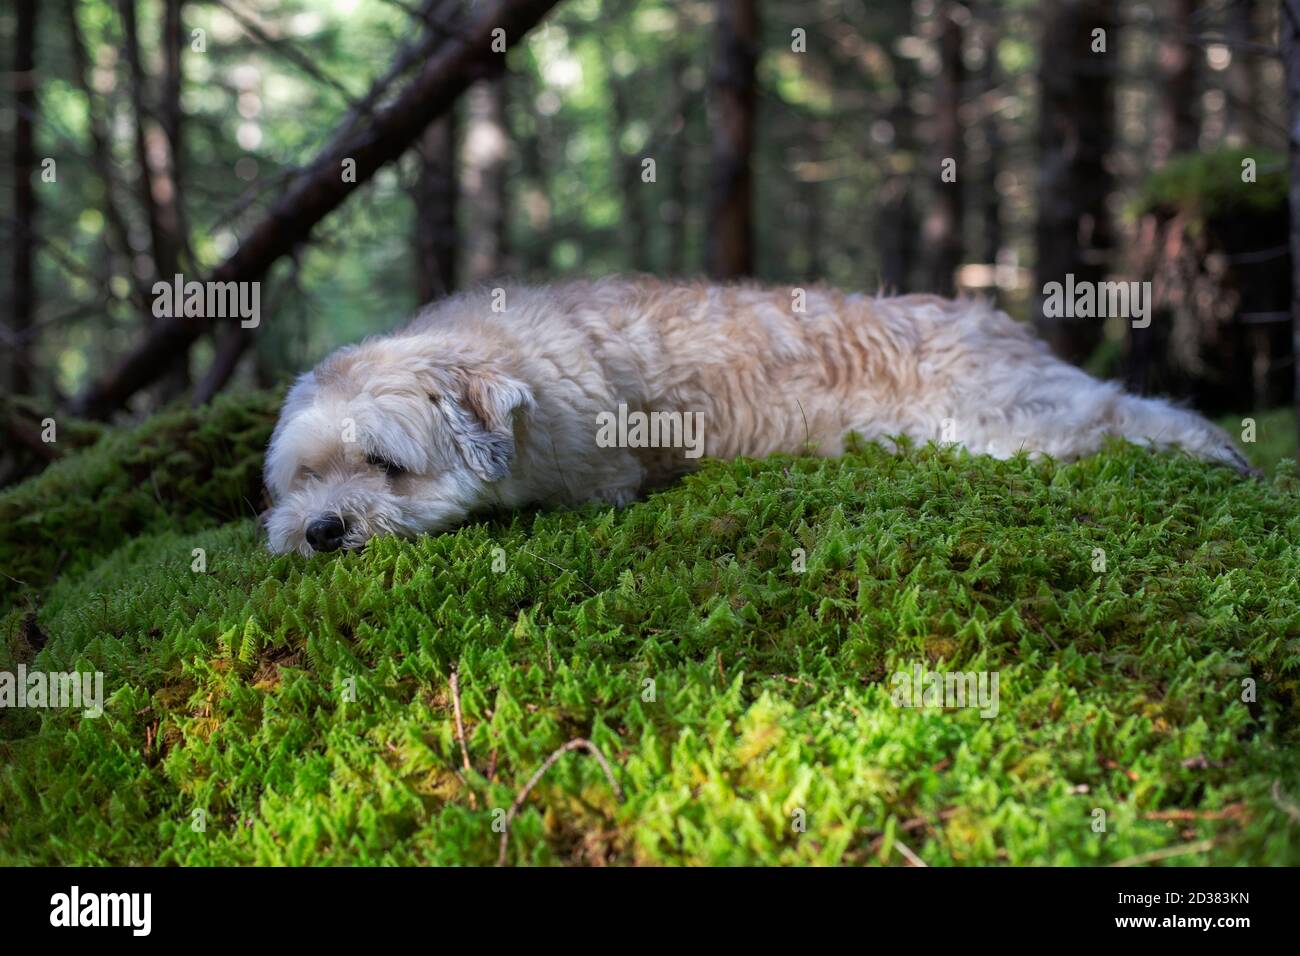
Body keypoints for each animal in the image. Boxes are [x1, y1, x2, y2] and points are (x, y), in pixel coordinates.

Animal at [263, 274, 1248, 554]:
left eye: (387, 466)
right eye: (301, 480)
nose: (319, 531)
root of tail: (992, 318)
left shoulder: (596, 476)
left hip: (997, 419)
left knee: (1119, 411)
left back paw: (1216, 452)